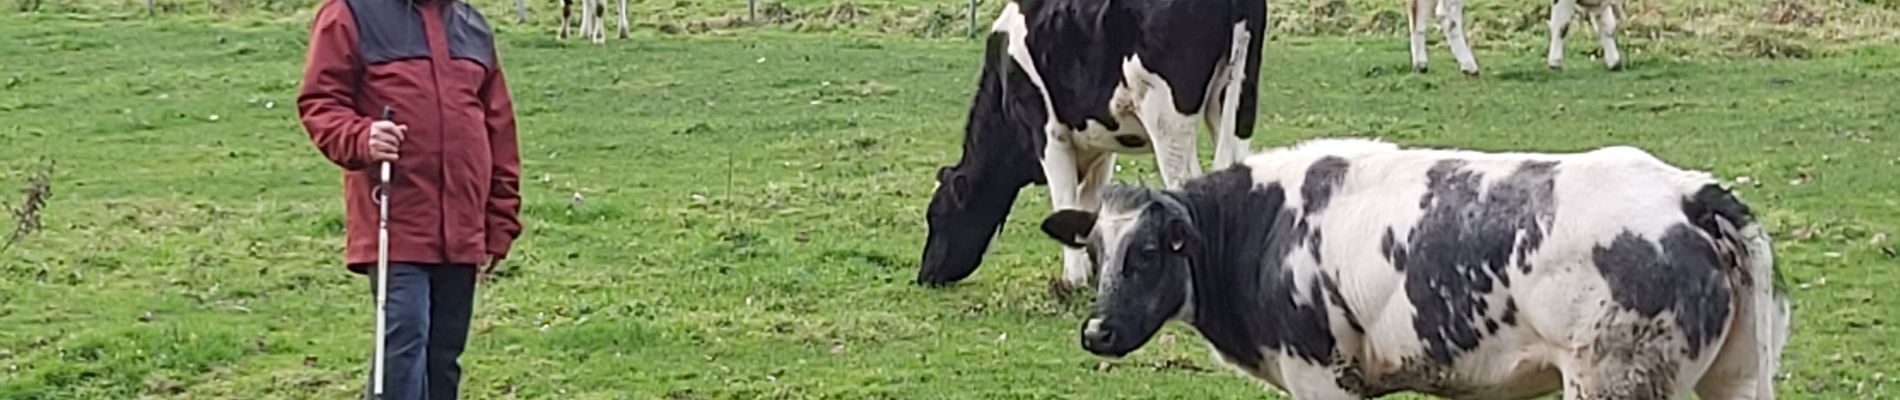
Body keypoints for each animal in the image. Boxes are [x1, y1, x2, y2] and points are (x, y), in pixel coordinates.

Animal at [915, 0, 1261, 290]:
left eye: (936, 216)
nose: (924, 276)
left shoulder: (1048, 133)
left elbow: (1065, 198)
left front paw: (1073, 280)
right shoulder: (1100, 142)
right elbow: (1090, 203)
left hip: (1166, 116)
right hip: (1237, 102)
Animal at [1048, 138, 1786, 400]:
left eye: (1147, 253)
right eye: (1096, 252)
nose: (1096, 333)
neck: (1263, 226)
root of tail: (1689, 194)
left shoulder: (1322, 380)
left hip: (1614, 383)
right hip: (1733, 381)